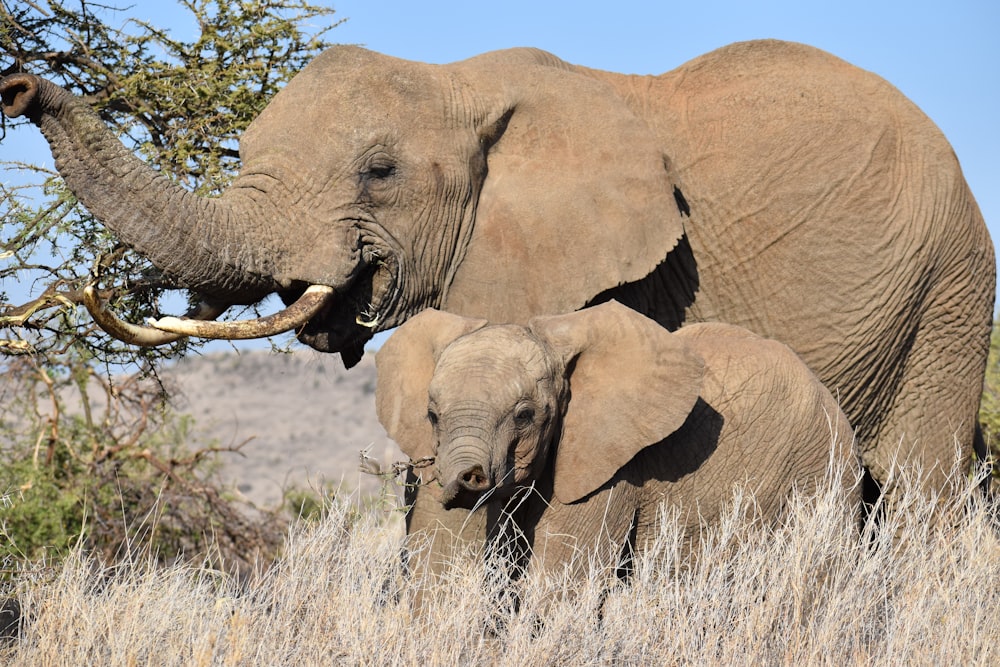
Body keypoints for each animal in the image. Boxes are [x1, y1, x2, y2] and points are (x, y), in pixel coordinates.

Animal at [0, 41, 992, 532]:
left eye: (380, 172)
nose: (17, 87)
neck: (458, 87)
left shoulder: (628, 278)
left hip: (946, 295)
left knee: (920, 486)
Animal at [376, 302, 860, 584]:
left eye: (525, 415)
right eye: (432, 415)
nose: (468, 478)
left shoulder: (612, 466)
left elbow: (562, 580)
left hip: (823, 469)